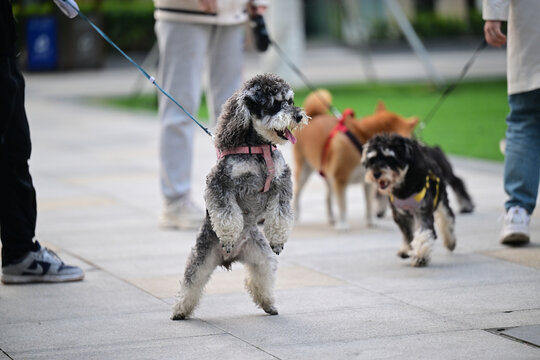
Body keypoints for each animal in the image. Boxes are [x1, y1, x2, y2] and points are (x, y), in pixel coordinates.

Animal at [173, 71, 308, 320]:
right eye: (275, 104)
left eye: (290, 100)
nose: (298, 116)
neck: (259, 149)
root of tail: (229, 259)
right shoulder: (219, 183)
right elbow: (227, 213)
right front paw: (228, 236)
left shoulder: (281, 182)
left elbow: (280, 213)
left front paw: (278, 239)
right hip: (202, 257)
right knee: (190, 283)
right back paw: (180, 310)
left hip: (261, 257)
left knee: (259, 279)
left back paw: (269, 304)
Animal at [362, 134, 468, 266]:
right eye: (372, 159)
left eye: (390, 158)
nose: (376, 174)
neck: (404, 188)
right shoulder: (400, 215)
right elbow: (407, 233)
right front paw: (407, 249)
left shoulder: (422, 211)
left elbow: (423, 232)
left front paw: (420, 255)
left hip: (442, 198)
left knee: (447, 218)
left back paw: (450, 241)